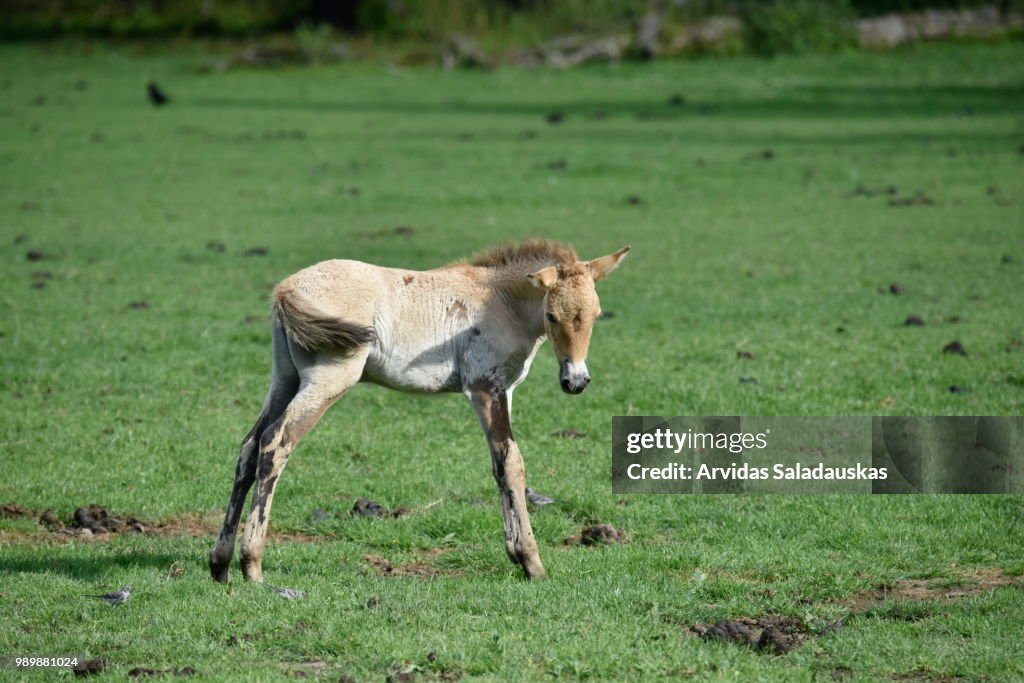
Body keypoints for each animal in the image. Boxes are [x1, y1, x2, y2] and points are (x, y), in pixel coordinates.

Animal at [207, 239, 626, 581]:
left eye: (596, 313)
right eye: (552, 315)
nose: (576, 381)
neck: (499, 300)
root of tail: (287, 289)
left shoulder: (504, 392)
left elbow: (499, 466)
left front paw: (516, 553)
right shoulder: (485, 389)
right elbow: (512, 464)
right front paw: (530, 561)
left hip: (284, 379)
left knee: (249, 447)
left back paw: (220, 564)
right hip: (326, 381)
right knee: (276, 445)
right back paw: (252, 564)